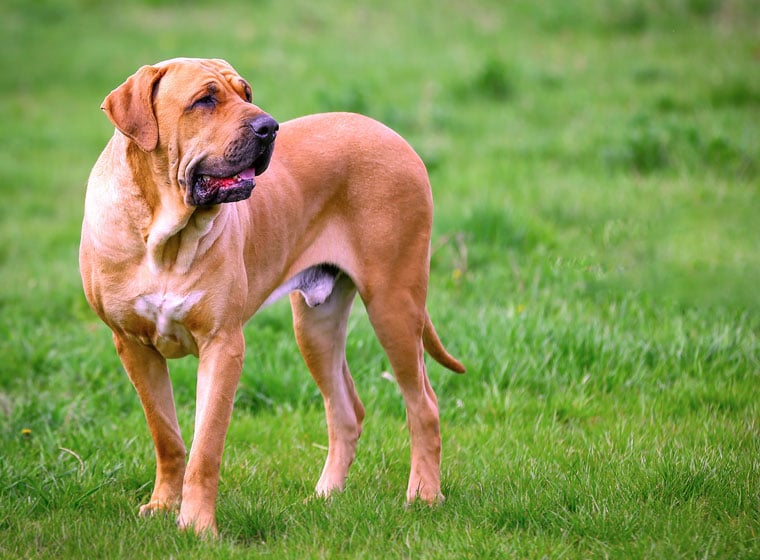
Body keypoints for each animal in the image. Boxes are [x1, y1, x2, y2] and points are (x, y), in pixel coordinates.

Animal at [80, 58, 466, 532]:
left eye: (246, 93)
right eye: (204, 100)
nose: (269, 127)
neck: (165, 236)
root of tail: (392, 135)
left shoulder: (223, 345)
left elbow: (205, 448)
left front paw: (197, 526)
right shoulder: (133, 345)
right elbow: (166, 435)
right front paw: (163, 507)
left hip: (393, 303)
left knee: (423, 404)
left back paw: (424, 494)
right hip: (315, 325)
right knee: (346, 411)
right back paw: (325, 495)